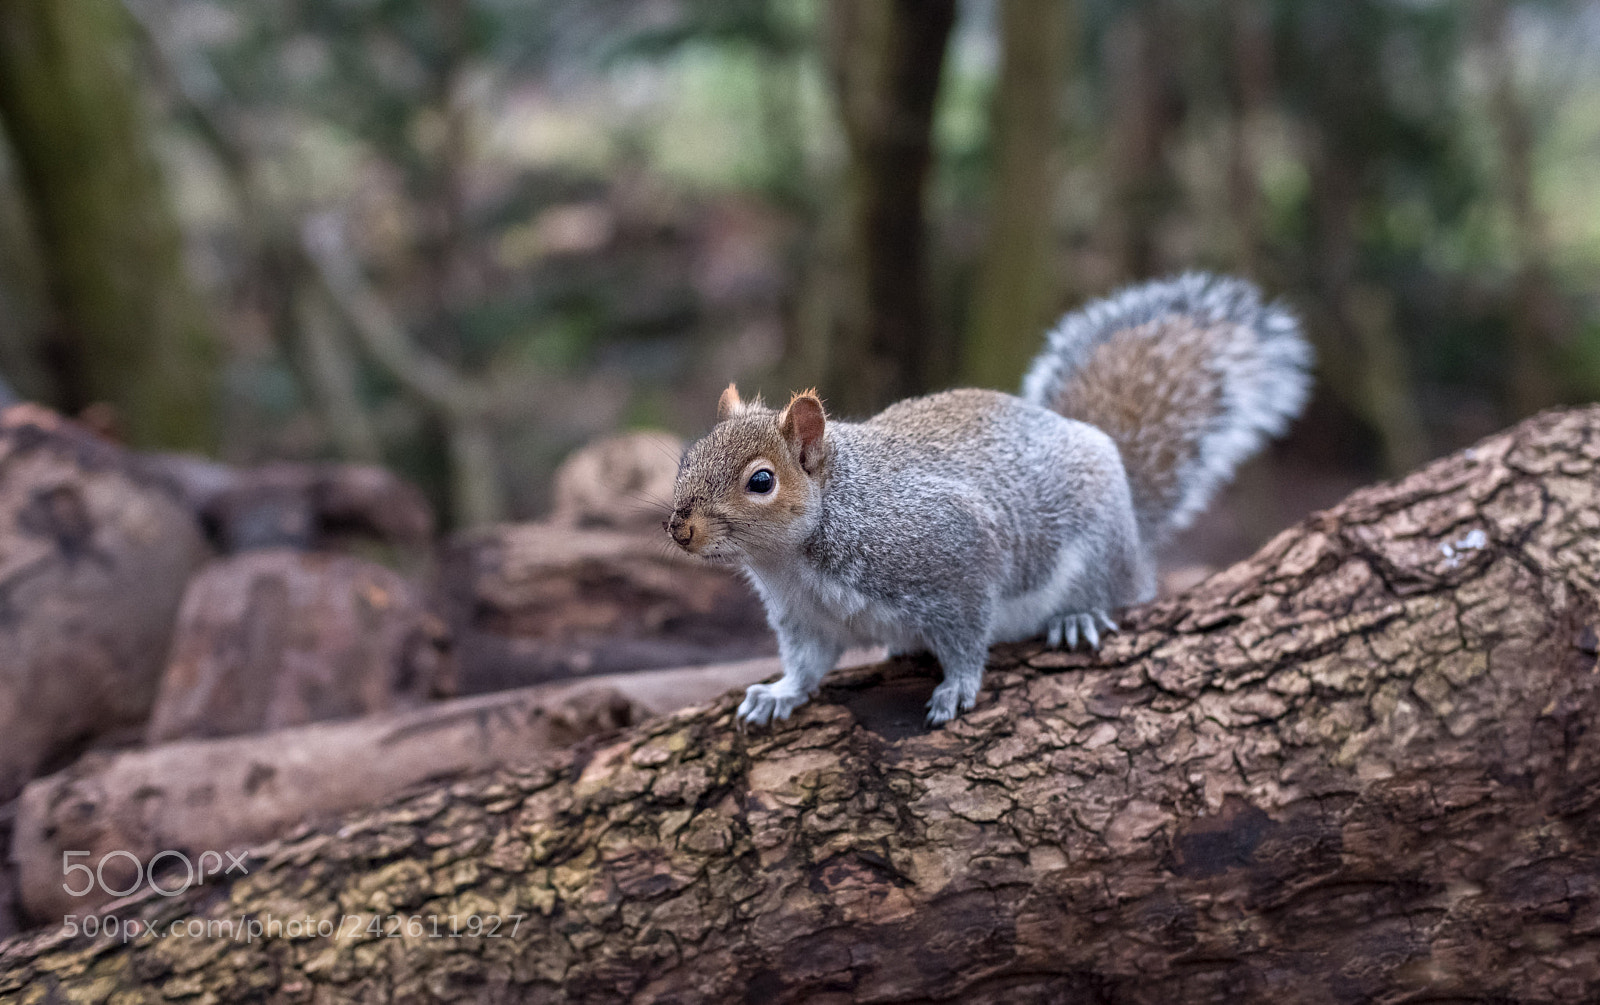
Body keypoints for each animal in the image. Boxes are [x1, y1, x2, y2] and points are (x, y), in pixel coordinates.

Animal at [666, 273, 1312, 727]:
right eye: (686, 458)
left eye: (761, 481)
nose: (680, 528)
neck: (795, 557)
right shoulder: (804, 618)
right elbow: (807, 664)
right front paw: (779, 694)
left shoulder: (952, 559)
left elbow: (967, 634)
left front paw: (957, 687)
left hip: (1100, 547)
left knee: (1115, 590)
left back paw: (1078, 616)